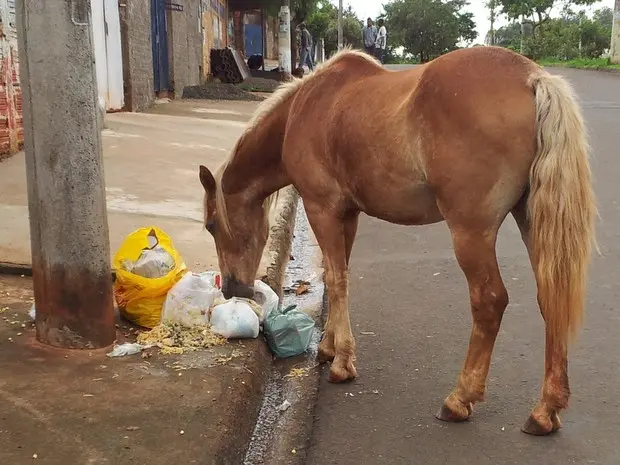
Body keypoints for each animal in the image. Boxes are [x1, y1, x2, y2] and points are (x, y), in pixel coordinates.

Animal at [199, 47, 596, 436]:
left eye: (212, 225)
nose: (233, 288)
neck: (305, 108)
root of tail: (532, 77)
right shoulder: (348, 215)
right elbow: (336, 276)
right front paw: (328, 347)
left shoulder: (321, 209)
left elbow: (337, 280)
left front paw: (342, 362)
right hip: (530, 221)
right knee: (551, 298)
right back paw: (546, 410)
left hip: (472, 232)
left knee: (489, 301)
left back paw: (460, 398)